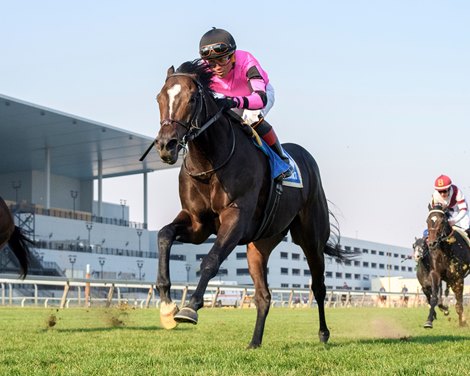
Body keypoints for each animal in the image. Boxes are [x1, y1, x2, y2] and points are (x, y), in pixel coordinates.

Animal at [149, 60, 354, 348]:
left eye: (191, 98)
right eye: (159, 98)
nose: (166, 145)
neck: (209, 164)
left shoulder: (236, 218)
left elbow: (210, 260)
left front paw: (190, 307)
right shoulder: (197, 223)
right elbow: (165, 235)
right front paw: (167, 307)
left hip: (311, 237)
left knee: (318, 286)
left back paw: (324, 334)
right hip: (260, 244)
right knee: (263, 296)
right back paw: (254, 342)